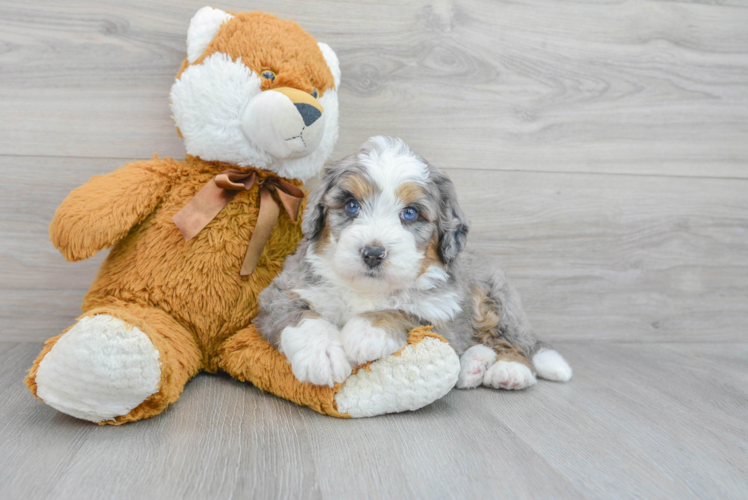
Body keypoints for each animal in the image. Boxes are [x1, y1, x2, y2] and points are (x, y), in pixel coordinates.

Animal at [256, 138, 572, 390]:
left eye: (409, 213)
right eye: (351, 205)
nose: (373, 253)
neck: (368, 289)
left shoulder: (442, 312)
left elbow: (406, 312)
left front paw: (367, 330)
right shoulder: (282, 292)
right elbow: (303, 317)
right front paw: (323, 355)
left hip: (497, 299)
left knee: (516, 341)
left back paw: (509, 370)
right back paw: (473, 366)